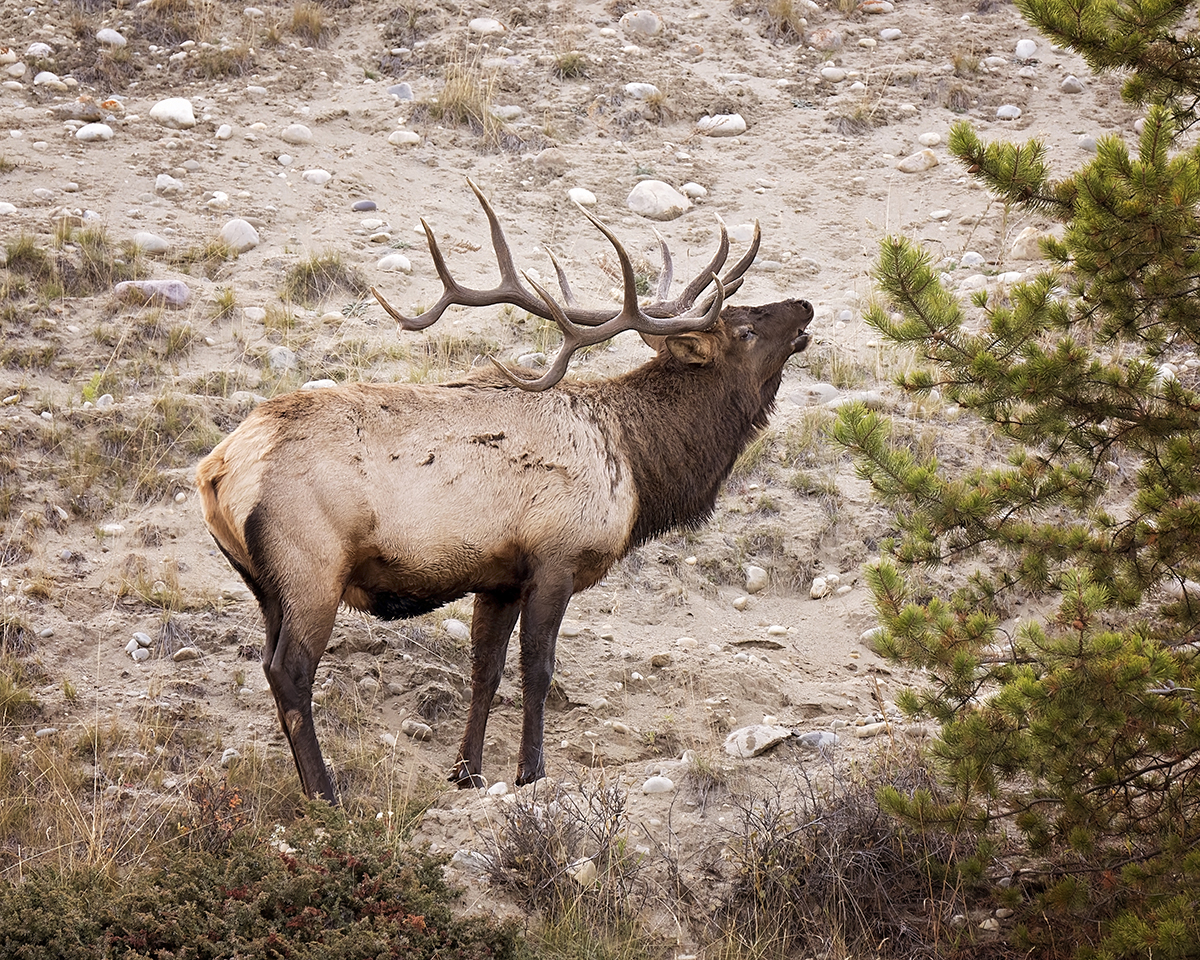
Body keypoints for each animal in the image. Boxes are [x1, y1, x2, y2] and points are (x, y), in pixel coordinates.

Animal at [196, 179, 813, 803]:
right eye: (745, 329)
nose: (806, 306)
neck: (636, 467)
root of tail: (216, 470)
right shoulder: (554, 558)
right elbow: (537, 671)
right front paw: (530, 771)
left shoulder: (498, 577)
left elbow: (485, 672)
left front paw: (467, 771)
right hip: (311, 567)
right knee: (289, 671)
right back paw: (325, 791)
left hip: (267, 584)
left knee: (269, 664)